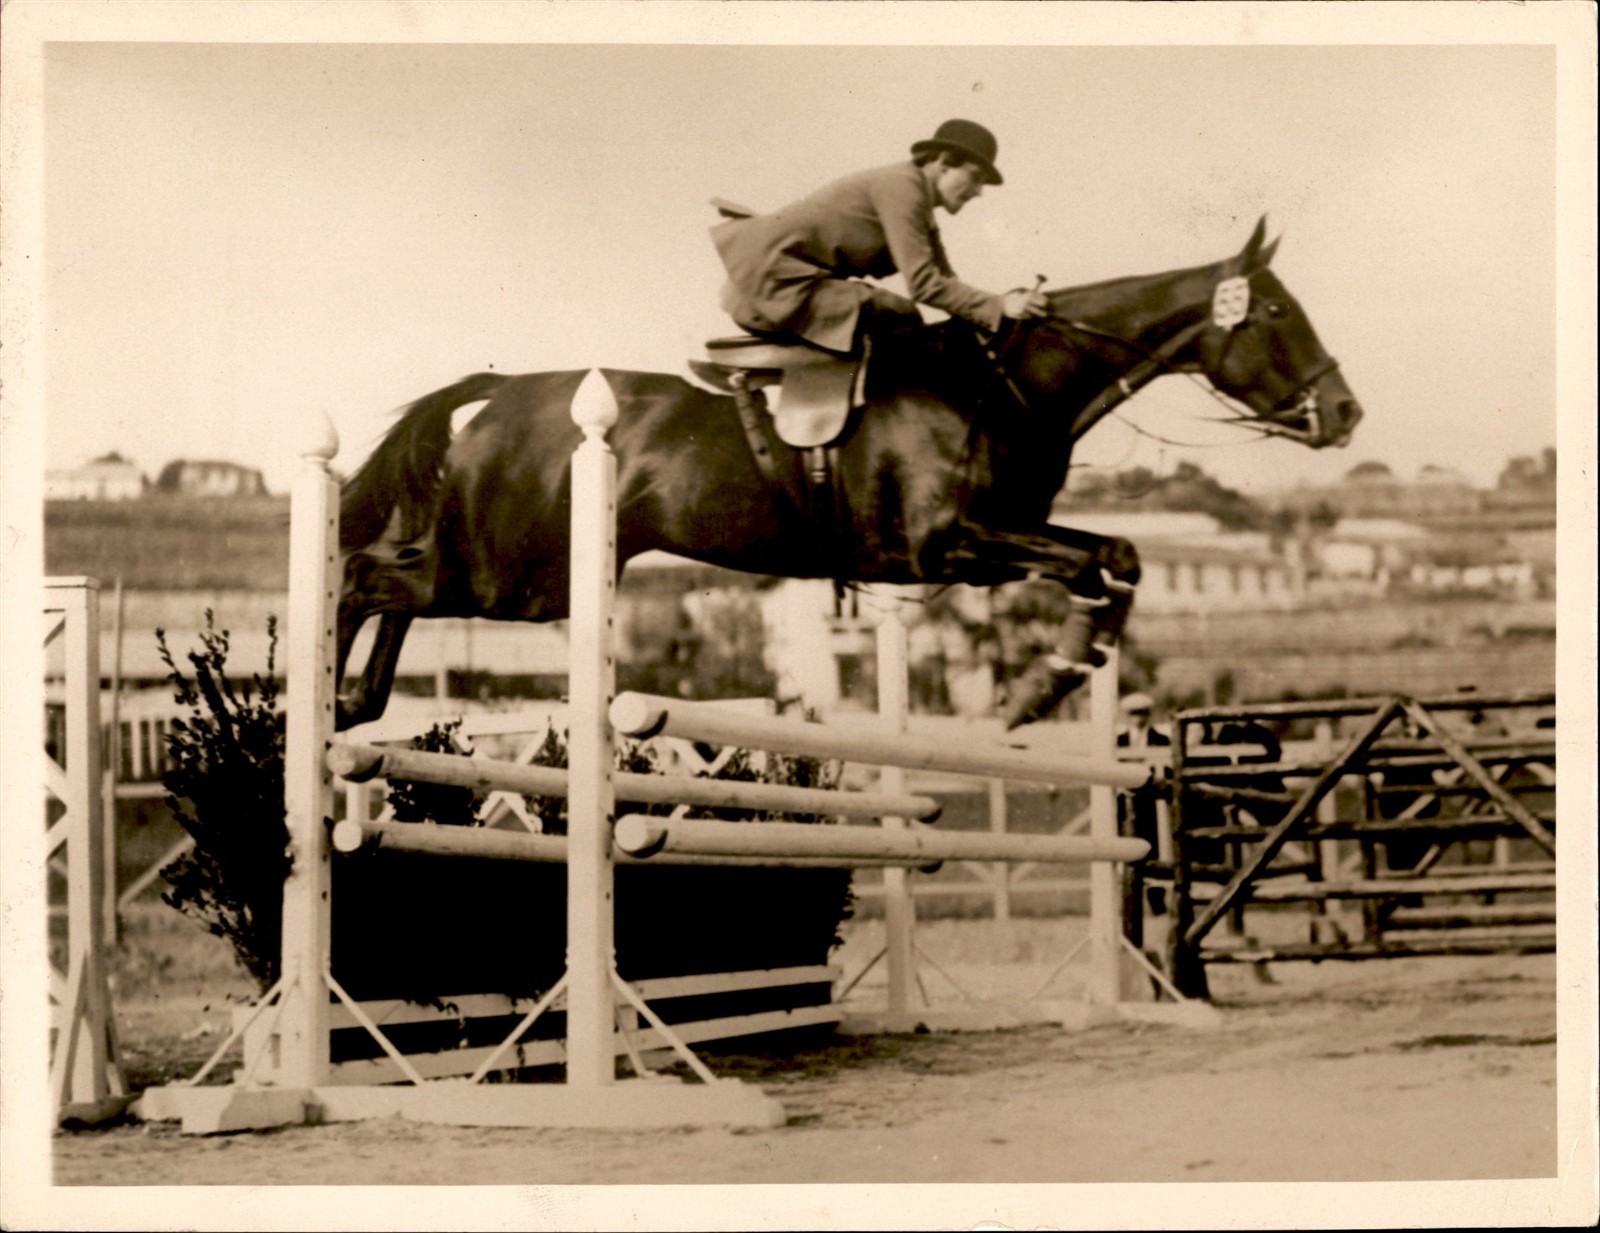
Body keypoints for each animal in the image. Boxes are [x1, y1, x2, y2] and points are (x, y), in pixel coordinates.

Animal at [334, 218, 1361, 729]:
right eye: (1275, 312)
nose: (1345, 413)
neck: (1001, 384)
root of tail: (499, 395)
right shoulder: (949, 546)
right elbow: (1090, 561)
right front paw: (1041, 686)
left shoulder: (992, 542)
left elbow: (1118, 556)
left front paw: (1064, 673)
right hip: (516, 576)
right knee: (367, 578)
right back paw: (333, 703)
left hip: (518, 573)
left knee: (393, 586)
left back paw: (356, 705)